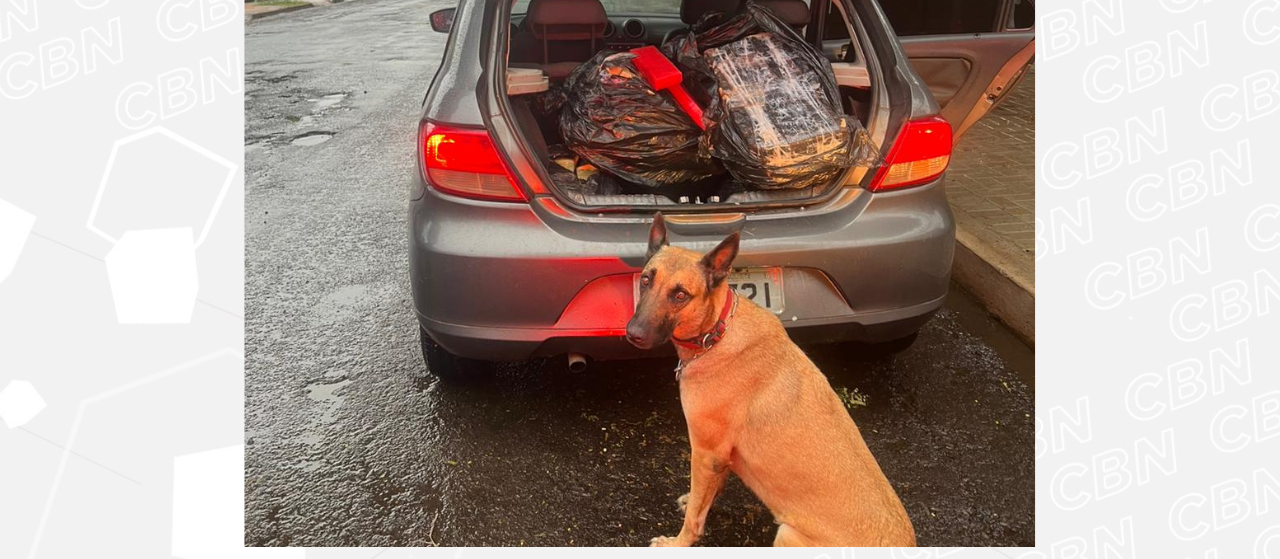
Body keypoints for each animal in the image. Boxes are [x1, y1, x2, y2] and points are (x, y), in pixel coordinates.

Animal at [624, 213, 916, 544]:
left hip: (787, 535)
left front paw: (678, 543)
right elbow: (707, 496)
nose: (633, 334)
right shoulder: (719, 458)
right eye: (646, 280)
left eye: (680, 295)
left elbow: (695, 517)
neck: (718, 333)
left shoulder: (706, 453)